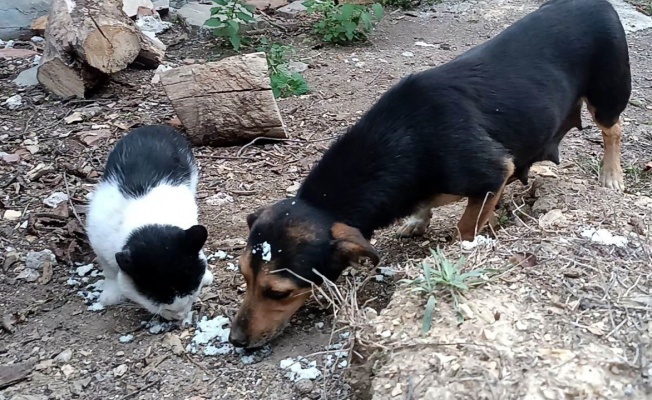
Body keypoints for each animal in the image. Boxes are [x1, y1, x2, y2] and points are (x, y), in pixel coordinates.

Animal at [86, 126, 213, 320]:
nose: (180, 315)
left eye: (192, 291)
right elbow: (110, 272)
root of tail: (154, 127)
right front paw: (110, 295)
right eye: (159, 301)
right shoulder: (99, 243)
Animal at [229, 0, 632, 348]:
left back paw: (612, 175)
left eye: (277, 292)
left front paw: (466, 245)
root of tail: (597, 3)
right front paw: (418, 220)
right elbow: (429, 206)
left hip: (608, 94)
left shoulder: (492, 172)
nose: (235, 341)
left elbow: (466, 226)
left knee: (614, 129)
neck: (401, 139)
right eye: (244, 276)